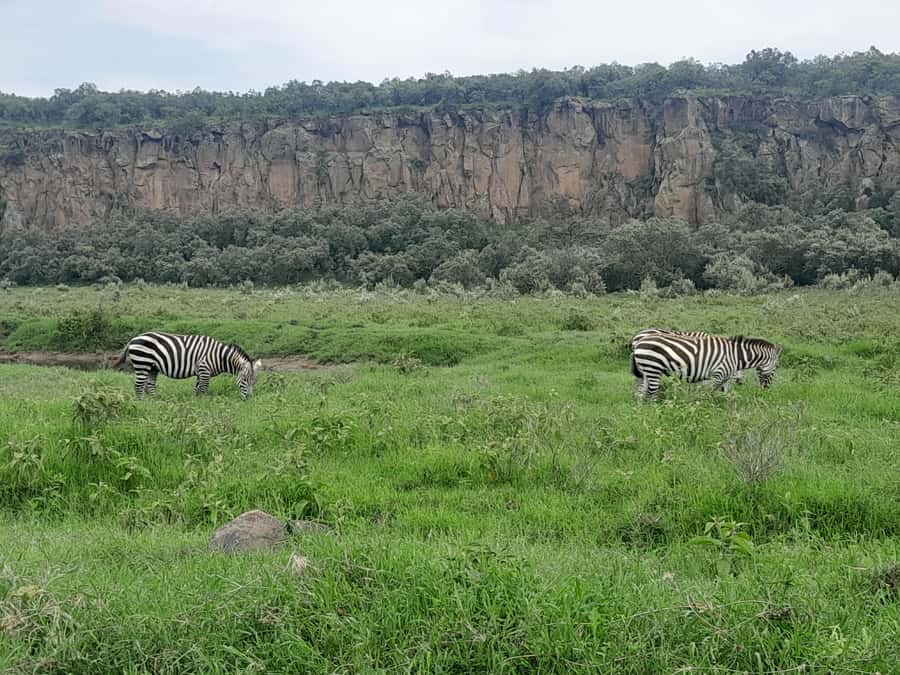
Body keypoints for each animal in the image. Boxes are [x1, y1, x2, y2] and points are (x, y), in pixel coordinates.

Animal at [115, 332, 262, 399]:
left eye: (254, 381)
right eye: (244, 379)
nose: (248, 399)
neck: (218, 356)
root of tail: (133, 339)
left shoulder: (200, 372)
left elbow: (197, 389)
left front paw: (196, 402)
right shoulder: (204, 369)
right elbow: (204, 389)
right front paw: (205, 403)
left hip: (152, 367)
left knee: (149, 386)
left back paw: (154, 402)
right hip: (142, 363)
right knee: (139, 386)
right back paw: (142, 403)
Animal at [630, 332, 782, 401]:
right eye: (777, 366)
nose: (766, 389)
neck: (736, 356)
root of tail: (638, 342)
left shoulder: (725, 378)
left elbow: (724, 394)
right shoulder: (717, 375)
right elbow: (708, 394)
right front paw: (705, 410)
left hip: (645, 372)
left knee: (640, 394)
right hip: (653, 369)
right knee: (652, 394)